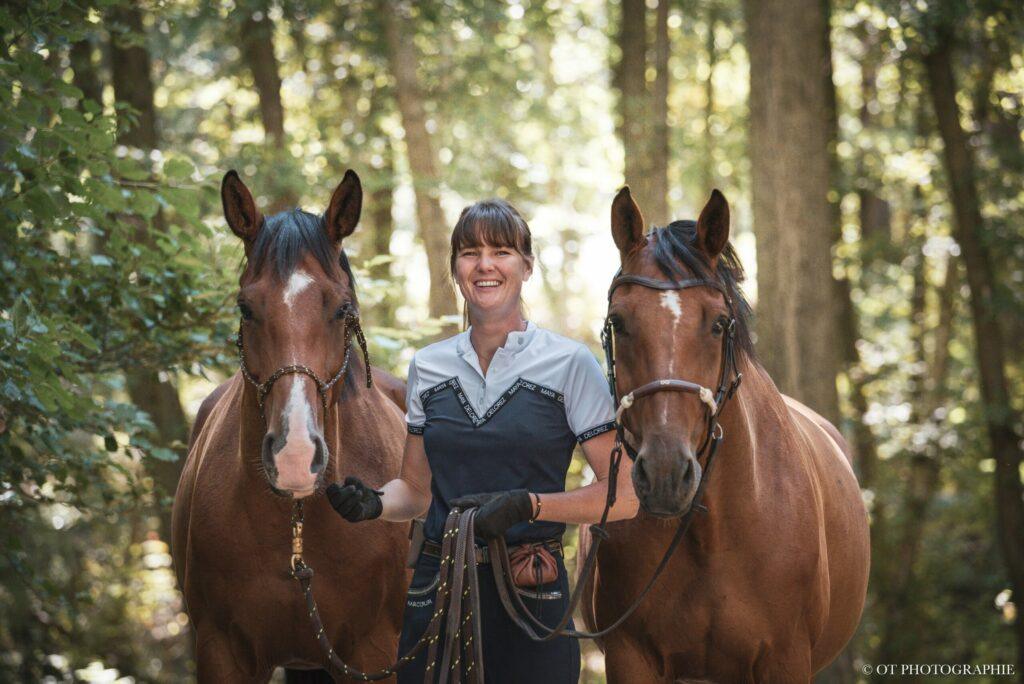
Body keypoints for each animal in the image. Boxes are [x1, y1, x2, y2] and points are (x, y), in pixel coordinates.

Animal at [579, 187, 870, 682]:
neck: (711, 532)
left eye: (717, 323)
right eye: (618, 322)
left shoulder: (786, 657)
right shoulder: (629, 656)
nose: (664, 475)